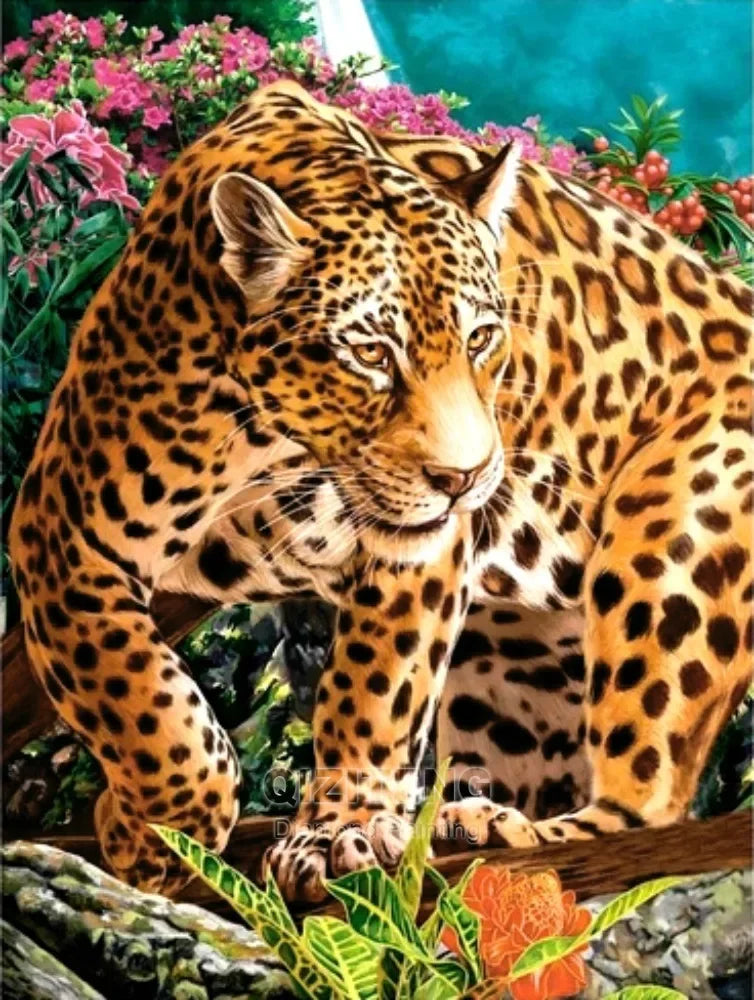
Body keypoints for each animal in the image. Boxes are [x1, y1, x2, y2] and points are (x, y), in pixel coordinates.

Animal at [9, 81, 752, 904]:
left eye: (482, 339)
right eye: (369, 352)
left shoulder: (415, 553)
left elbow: (376, 687)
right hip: (513, 662)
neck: (274, 436)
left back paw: (509, 832)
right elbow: (138, 699)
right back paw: (478, 822)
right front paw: (156, 835)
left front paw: (340, 831)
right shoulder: (63, 536)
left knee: (645, 799)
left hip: (672, 549)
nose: (466, 478)